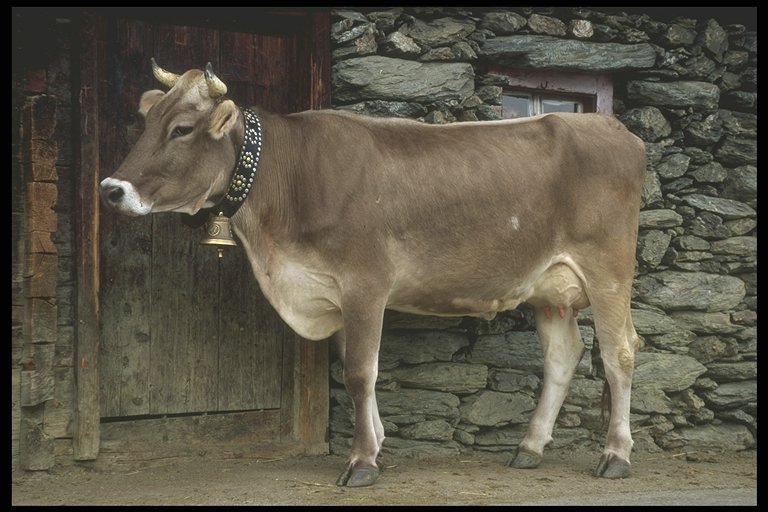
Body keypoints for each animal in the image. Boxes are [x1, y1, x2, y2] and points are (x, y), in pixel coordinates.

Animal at [99, 60, 646, 487]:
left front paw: (362, 461)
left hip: (608, 271)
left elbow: (361, 372)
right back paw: (529, 448)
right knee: (562, 356)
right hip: (550, 286)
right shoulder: (334, 290)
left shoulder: (365, 283)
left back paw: (616, 455)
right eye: (147, 121)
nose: (111, 189)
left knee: (619, 353)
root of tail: (615, 129)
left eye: (182, 129)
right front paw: (377, 442)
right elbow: (353, 365)